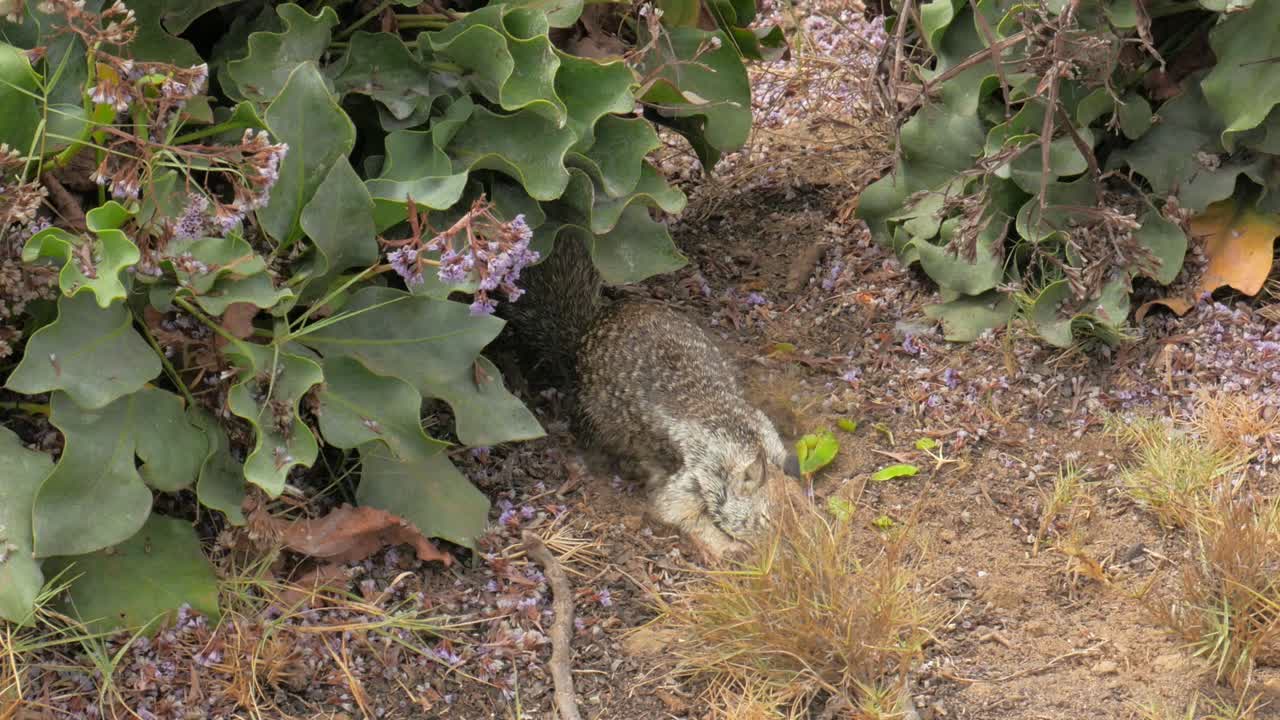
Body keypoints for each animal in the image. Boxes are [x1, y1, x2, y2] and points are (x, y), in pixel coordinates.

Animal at [500, 235, 801, 559]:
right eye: (765, 519)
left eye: (805, 513)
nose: (790, 556)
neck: (745, 441)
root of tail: (585, 332)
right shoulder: (691, 478)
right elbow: (680, 513)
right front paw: (730, 549)